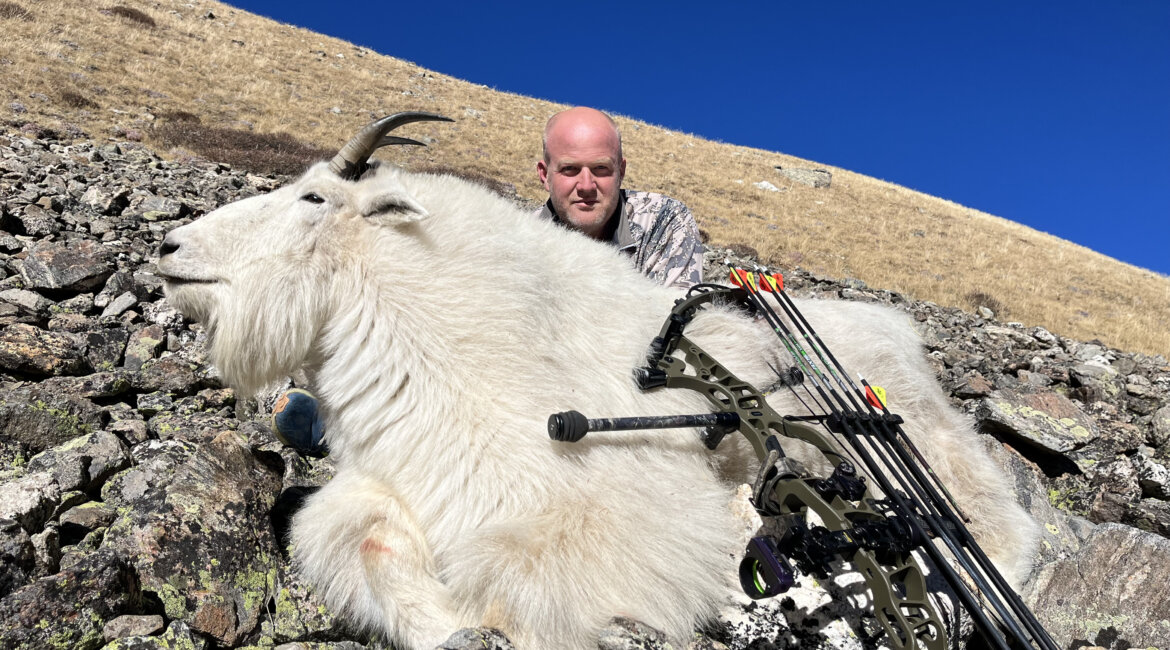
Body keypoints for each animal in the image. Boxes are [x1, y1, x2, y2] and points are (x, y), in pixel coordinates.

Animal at [158, 113, 1038, 650]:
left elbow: (526, 581)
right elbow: (363, 540)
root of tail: (902, 338)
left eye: (313, 196)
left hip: (934, 467)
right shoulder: (395, 481)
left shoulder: (604, 504)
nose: (170, 249)